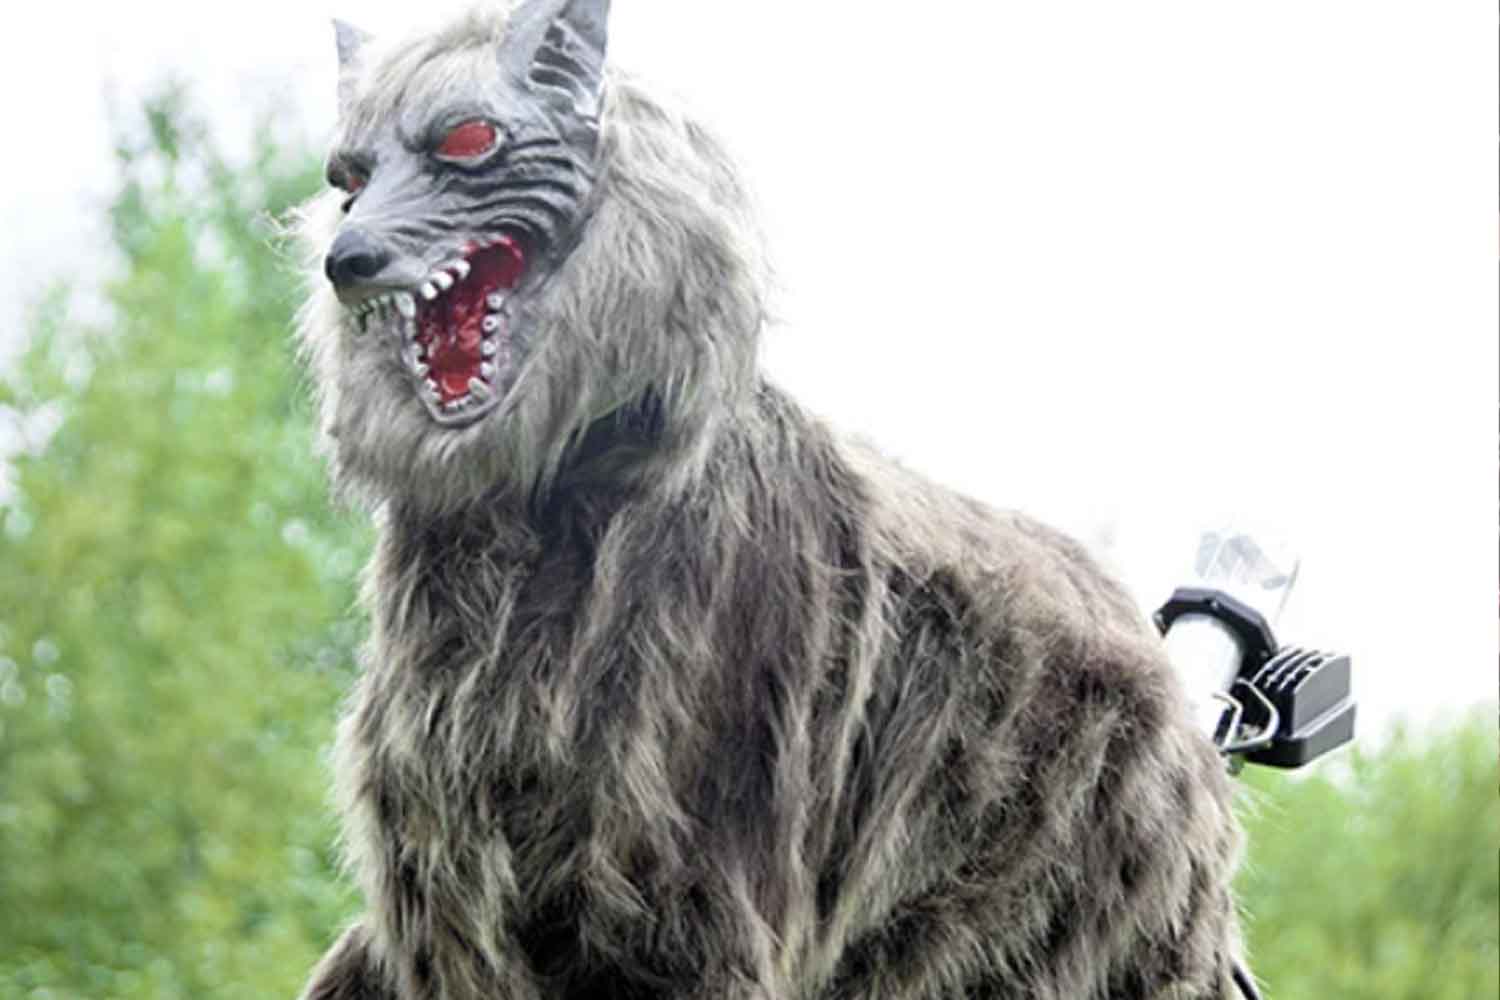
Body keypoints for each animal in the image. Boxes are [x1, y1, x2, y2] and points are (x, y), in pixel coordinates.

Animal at [293, 2, 1246, 997]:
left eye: (469, 140)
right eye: (347, 178)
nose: (347, 257)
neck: (544, 500)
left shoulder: (682, 891)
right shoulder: (445, 886)